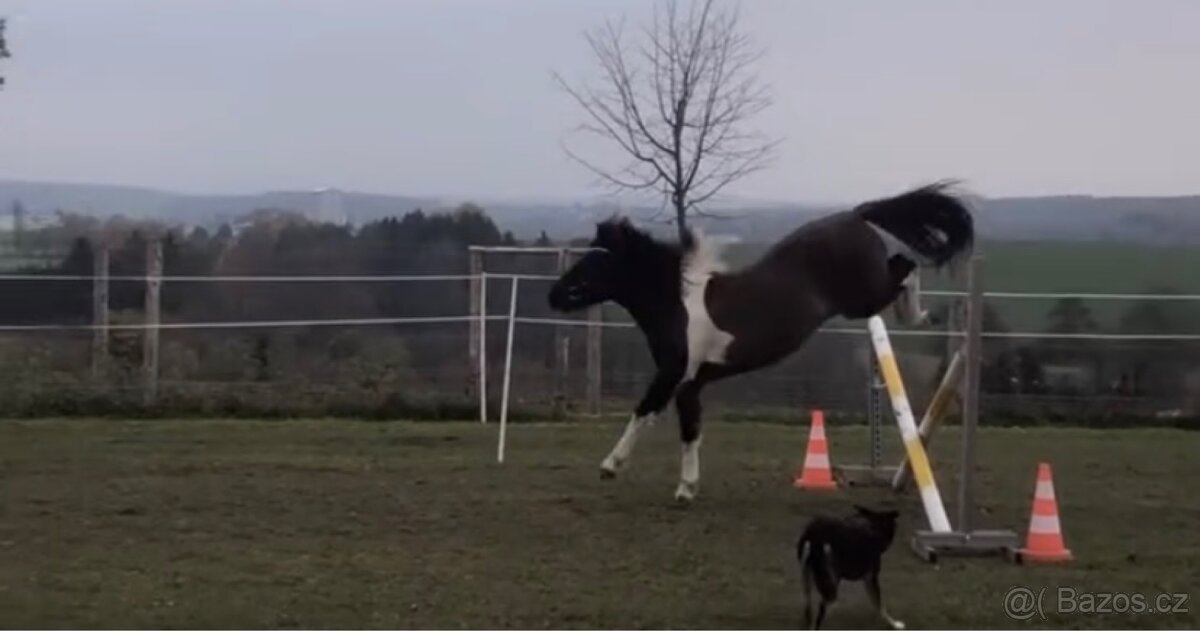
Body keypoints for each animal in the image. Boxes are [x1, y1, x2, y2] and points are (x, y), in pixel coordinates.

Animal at [546, 182, 974, 502]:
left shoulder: (672, 374)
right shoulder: (691, 383)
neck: (677, 302)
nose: (554, 296)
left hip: (863, 297)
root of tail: (855, 214)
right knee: (903, 265)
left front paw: (611, 466)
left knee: (906, 267)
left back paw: (920, 316)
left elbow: (643, 412)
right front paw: (687, 487)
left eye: (595, 262)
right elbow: (690, 430)